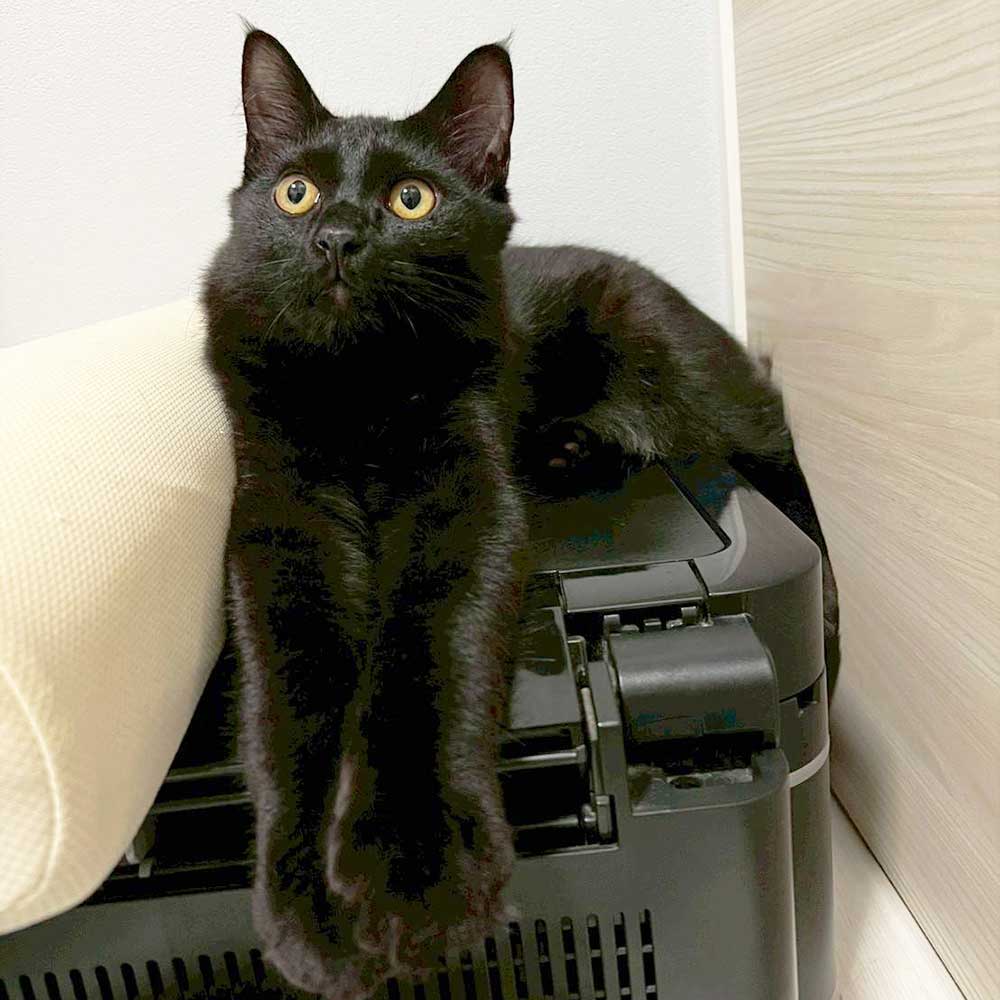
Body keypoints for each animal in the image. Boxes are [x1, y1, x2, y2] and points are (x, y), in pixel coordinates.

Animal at [202, 28, 839, 1000]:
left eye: (412, 199)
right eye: (295, 192)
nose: (338, 238)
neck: (360, 385)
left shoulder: (466, 506)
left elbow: (427, 655)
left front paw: (414, 874)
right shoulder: (280, 526)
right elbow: (289, 705)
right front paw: (310, 916)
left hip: (691, 378)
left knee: (783, 465)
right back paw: (570, 449)